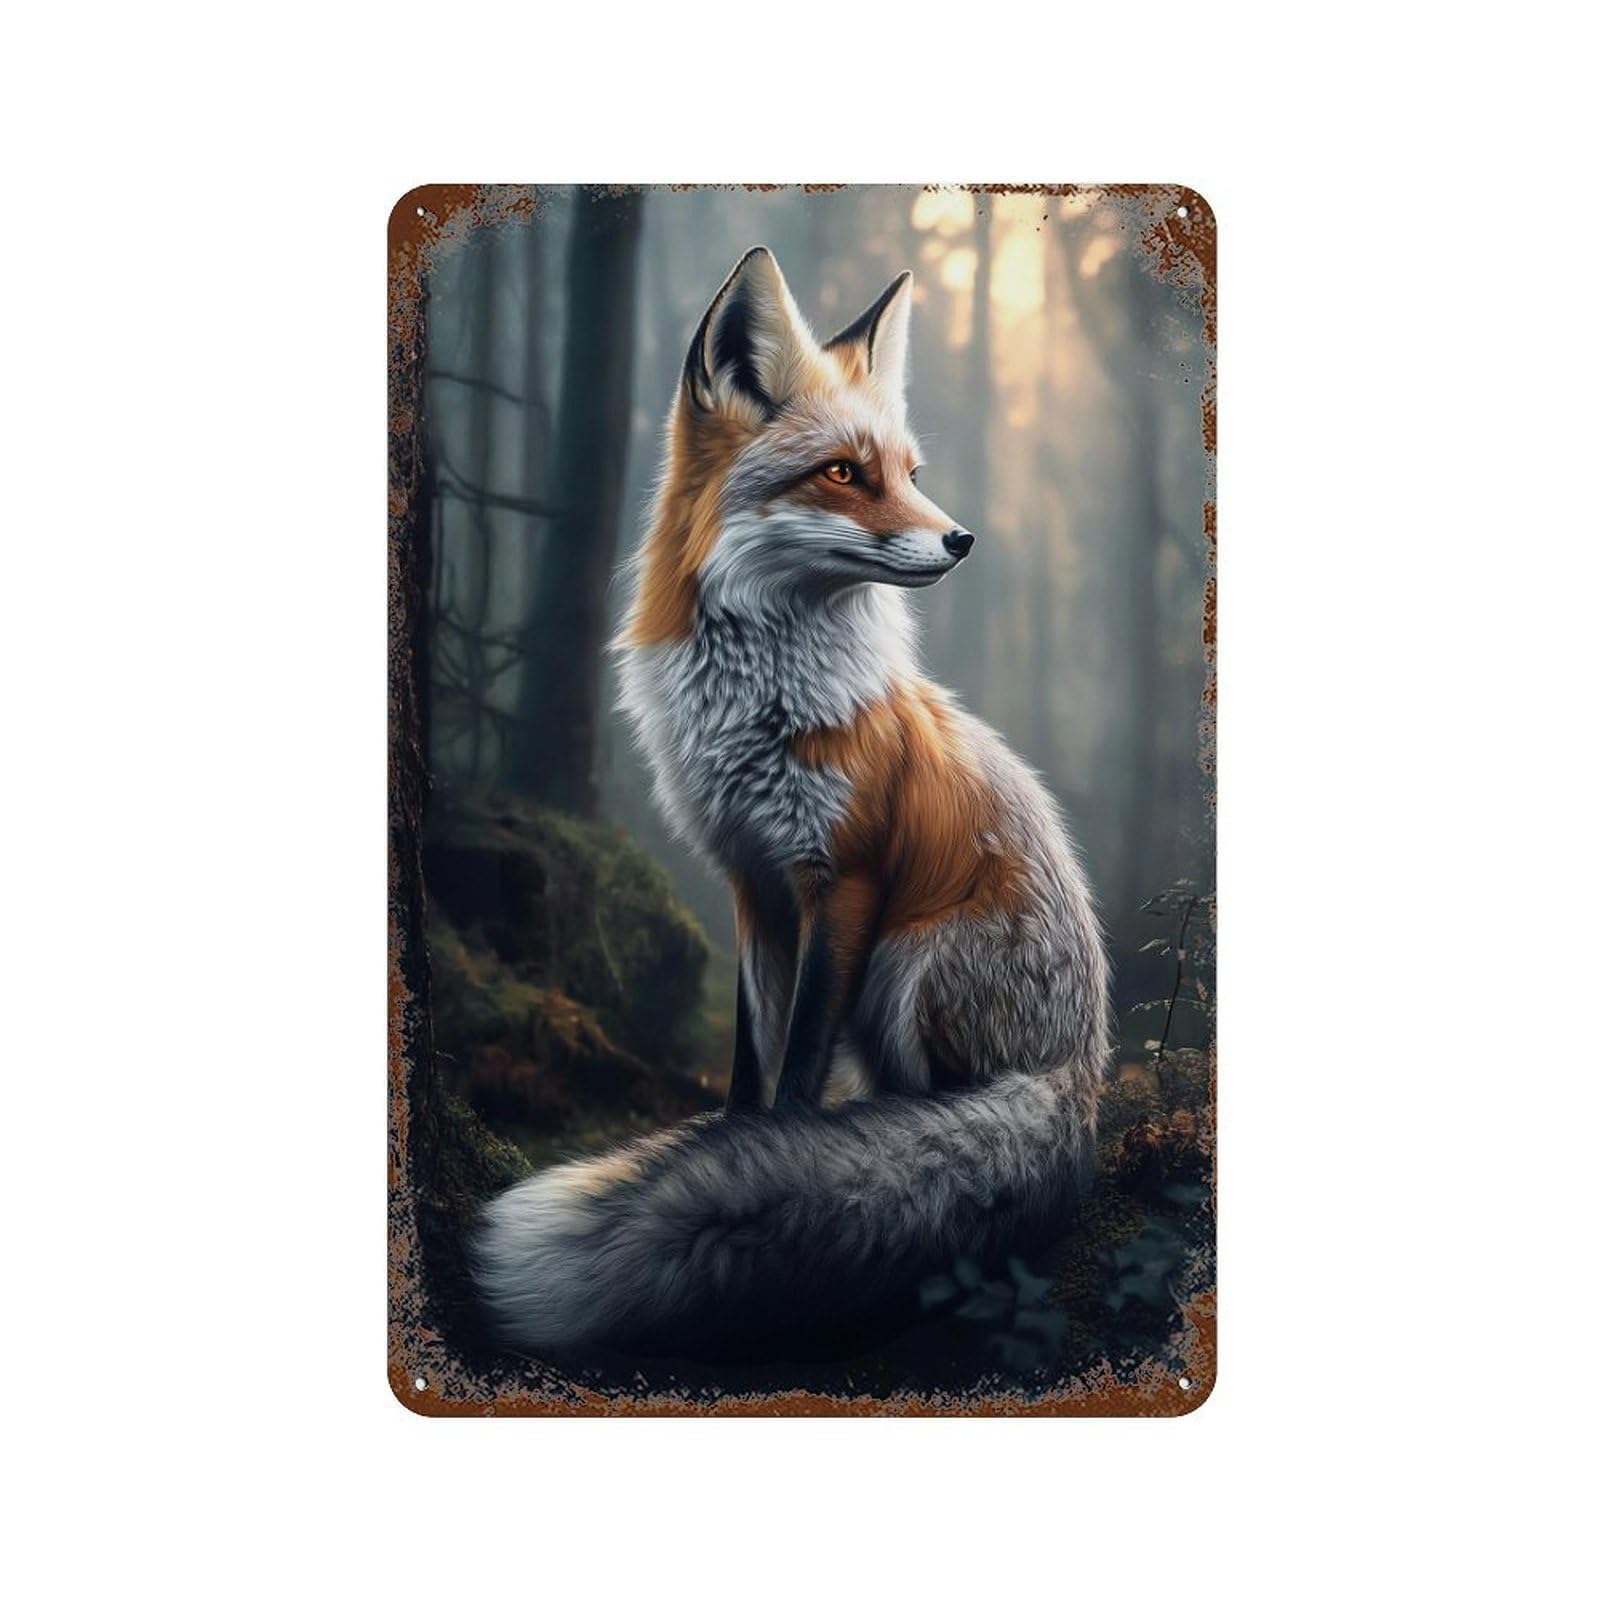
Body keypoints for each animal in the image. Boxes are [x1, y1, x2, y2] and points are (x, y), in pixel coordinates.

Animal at [474, 247, 1111, 1356]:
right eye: (844, 473)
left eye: (909, 474)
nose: (962, 539)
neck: (759, 702)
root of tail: (1083, 1072)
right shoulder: (750, 878)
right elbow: (749, 1059)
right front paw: (730, 1152)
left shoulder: (842, 880)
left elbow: (799, 1068)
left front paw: (768, 1169)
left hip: (911, 960)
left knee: (935, 1110)